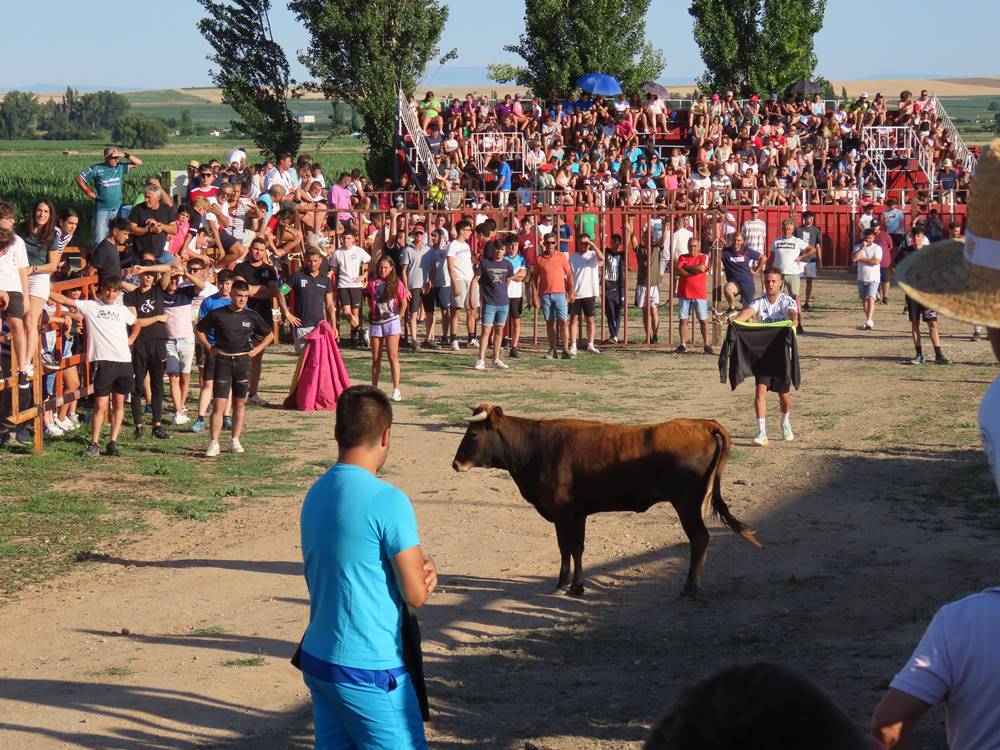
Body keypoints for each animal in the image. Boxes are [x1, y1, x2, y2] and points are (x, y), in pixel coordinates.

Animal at [450, 406, 760, 600]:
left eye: (473, 434)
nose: (455, 464)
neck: (535, 447)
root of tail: (703, 425)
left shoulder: (563, 513)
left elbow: (566, 547)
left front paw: (564, 584)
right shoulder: (578, 514)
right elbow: (577, 548)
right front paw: (576, 585)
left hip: (686, 503)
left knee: (699, 538)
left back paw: (689, 588)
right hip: (694, 503)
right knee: (701, 540)